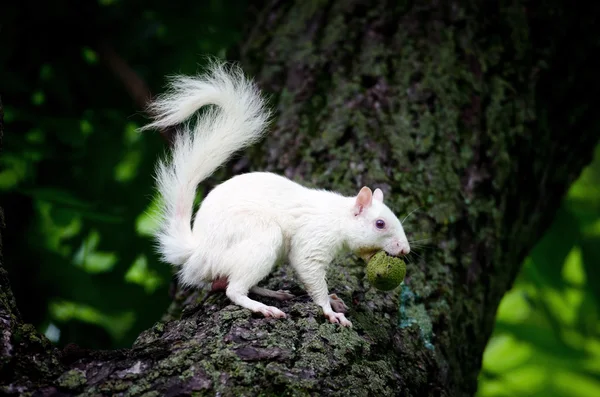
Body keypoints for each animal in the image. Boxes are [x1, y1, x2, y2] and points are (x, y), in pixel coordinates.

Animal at [142, 58, 408, 324]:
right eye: (380, 224)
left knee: (227, 282)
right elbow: (310, 273)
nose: (405, 249)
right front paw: (330, 310)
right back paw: (263, 307)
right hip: (260, 237)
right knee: (233, 289)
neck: (337, 217)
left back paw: (272, 293)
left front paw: (333, 301)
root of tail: (198, 251)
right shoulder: (312, 241)